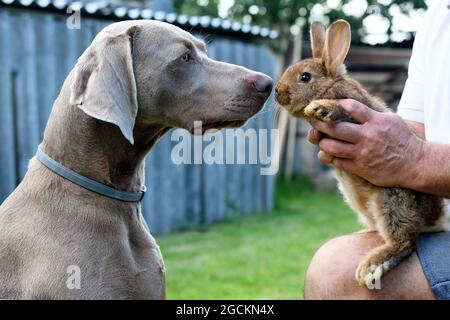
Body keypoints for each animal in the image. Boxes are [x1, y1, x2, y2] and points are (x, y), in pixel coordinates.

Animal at [276, 20, 444, 288]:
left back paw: (373, 265)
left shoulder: (355, 111)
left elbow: (341, 110)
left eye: (305, 77)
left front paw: (320, 108)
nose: (277, 92)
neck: (331, 86)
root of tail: (434, 218)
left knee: (405, 241)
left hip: (393, 199)